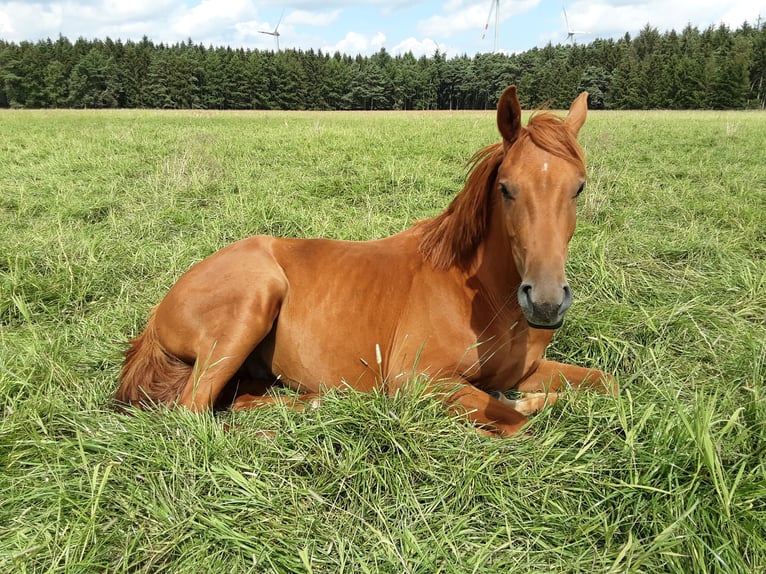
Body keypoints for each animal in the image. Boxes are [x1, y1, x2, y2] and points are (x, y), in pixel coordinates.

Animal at [115, 85, 616, 436]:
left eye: (579, 187)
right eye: (507, 188)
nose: (546, 303)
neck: (483, 297)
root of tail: (159, 313)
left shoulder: (526, 371)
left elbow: (603, 383)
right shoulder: (416, 379)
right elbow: (514, 424)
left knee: (233, 401)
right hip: (250, 307)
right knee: (194, 412)